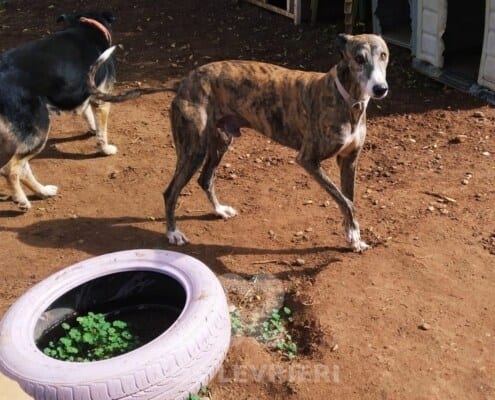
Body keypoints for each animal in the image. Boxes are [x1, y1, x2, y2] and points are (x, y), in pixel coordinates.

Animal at [0, 11, 116, 212]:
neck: (85, 28)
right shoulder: (102, 99)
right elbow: (102, 133)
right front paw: (105, 149)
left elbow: (86, 113)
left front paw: (92, 128)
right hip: (38, 131)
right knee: (10, 169)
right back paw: (22, 201)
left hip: (27, 136)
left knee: (23, 168)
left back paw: (43, 192)